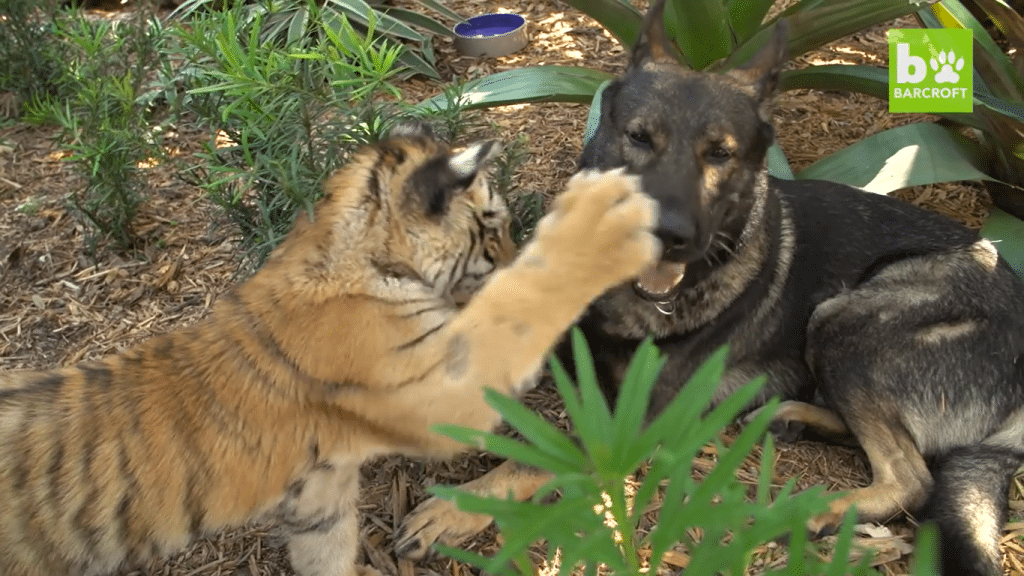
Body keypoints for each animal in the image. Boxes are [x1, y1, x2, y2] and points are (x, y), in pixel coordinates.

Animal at [395, 2, 1024, 569]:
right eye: (639, 138)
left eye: (720, 153)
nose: (669, 234)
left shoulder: (627, 421)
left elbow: (536, 453)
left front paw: (452, 508)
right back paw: (791, 416)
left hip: (848, 318)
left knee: (912, 474)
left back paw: (817, 506)